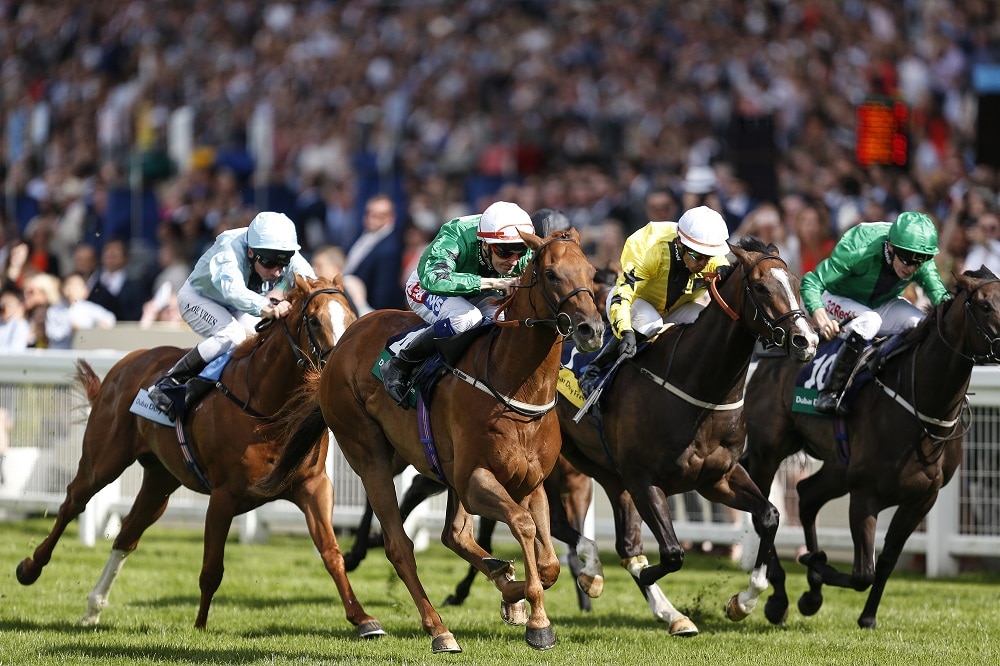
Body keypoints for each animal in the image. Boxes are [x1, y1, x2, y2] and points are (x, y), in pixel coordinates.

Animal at [15, 272, 382, 636]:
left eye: (352, 318)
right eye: (315, 320)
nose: (338, 370)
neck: (268, 406)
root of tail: (127, 362)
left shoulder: (313, 486)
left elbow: (331, 553)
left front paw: (363, 619)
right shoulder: (223, 496)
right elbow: (212, 569)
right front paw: (200, 626)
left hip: (160, 481)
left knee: (127, 535)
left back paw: (94, 607)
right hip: (104, 460)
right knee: (73, 502)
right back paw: (30, 568)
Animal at [256, 228, 600, 648]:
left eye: (591, 272)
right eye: (550, 274)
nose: (592, 329)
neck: (515, 384)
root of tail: (342, 346)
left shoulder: (530, 482)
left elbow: (548, 561)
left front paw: (518, 596)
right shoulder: (475, 480)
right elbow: (523, 526)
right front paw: (537, 621)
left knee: (454, 535)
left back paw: (501, 581)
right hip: (370, 454)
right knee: (399, 544)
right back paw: (438, 629)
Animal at [552, 237, 816, 632]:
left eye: (796, 283)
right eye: (761, 287)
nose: (806, 340)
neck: (698, 388)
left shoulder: (718, 477)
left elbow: (769, 516)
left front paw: (743, 601)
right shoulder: (644, 480)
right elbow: (673, 553)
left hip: (608, 474)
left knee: (625, 544)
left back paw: (661, 609)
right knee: (553, 521)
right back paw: (594, 572)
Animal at [744, 266, 1000, 628]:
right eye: (985, 306)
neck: (921, 406)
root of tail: (775, 353)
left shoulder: (923, 499)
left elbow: (887, 561)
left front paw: (863, 615)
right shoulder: (865, 494)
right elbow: (863, 571)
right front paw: (816, 568)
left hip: (838, 466)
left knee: (807, 496)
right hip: (768, 451)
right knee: (764, 510)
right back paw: (779, 596)